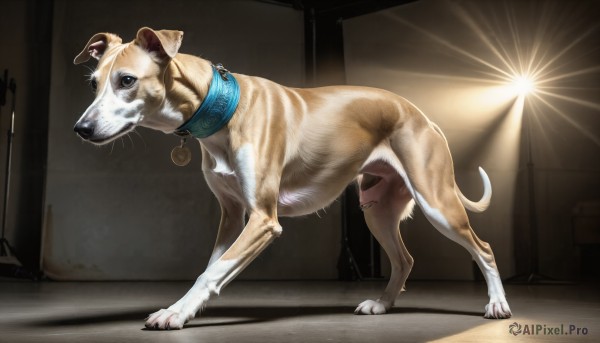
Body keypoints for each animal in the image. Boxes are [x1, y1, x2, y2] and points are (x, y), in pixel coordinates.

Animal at [70, 27, 510, 330]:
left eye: (127, 81)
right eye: (93, 84)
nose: (81, 129)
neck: (223, 107)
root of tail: (421, 114)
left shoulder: (264, 220)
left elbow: (211, 271)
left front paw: (175, 312)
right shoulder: (232, 216)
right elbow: (213, 267)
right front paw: (189, 308)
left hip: (437, 203)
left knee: (485, 248)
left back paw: (497, 305)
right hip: (377, 210)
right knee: (404, 259)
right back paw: (382, 304)